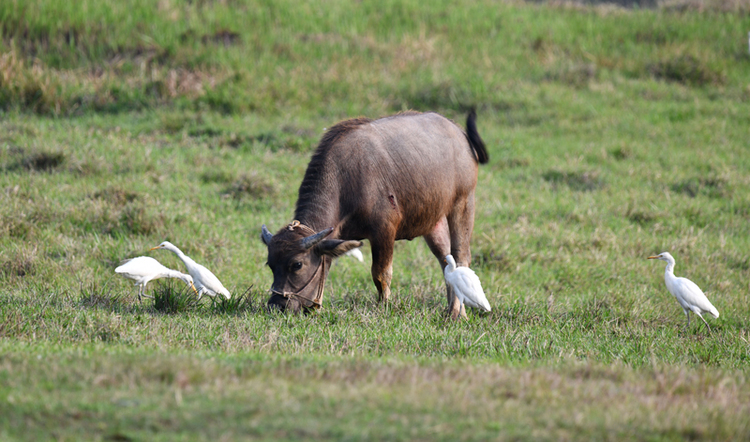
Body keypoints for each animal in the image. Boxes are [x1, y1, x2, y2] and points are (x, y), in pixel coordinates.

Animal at [262, 110, 490, 318]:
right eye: (270, 264)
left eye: (297, 264)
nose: (276, 306)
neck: (345, 180)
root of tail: (459, 132)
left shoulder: (384, 230)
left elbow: (381, 273)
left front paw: (384, 307)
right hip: (434, 221)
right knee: (446, 262)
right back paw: (455, 312)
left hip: (463, 204)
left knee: (461, 258)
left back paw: (456, 313)